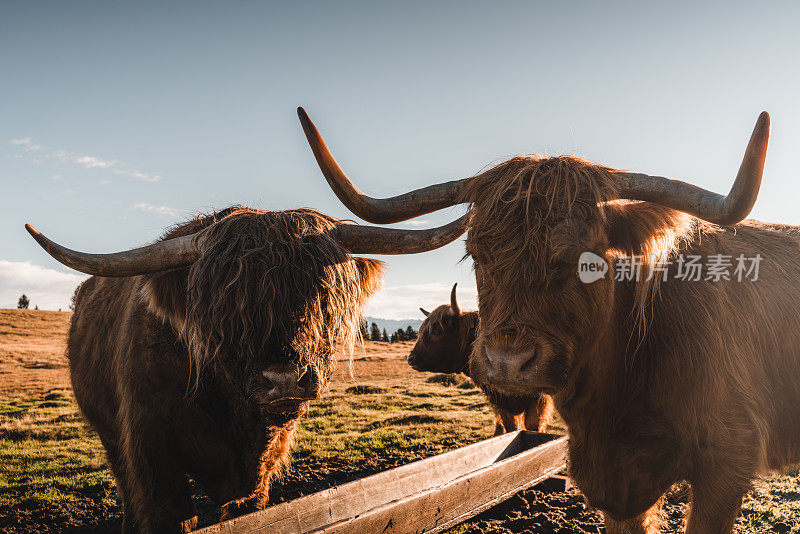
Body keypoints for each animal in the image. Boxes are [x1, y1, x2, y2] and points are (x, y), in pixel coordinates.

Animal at [26, 207, 468, 532]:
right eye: (225, 309)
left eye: (323, 298)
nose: (285, 380)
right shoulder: (154, 459)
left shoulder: (259, 475)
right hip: (112, 437)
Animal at [410, 284, 552, 436]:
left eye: (437, 331)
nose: (410, 358)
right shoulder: (498, 401)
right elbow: (510, 426)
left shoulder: (539, 400)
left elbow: (533, 426)